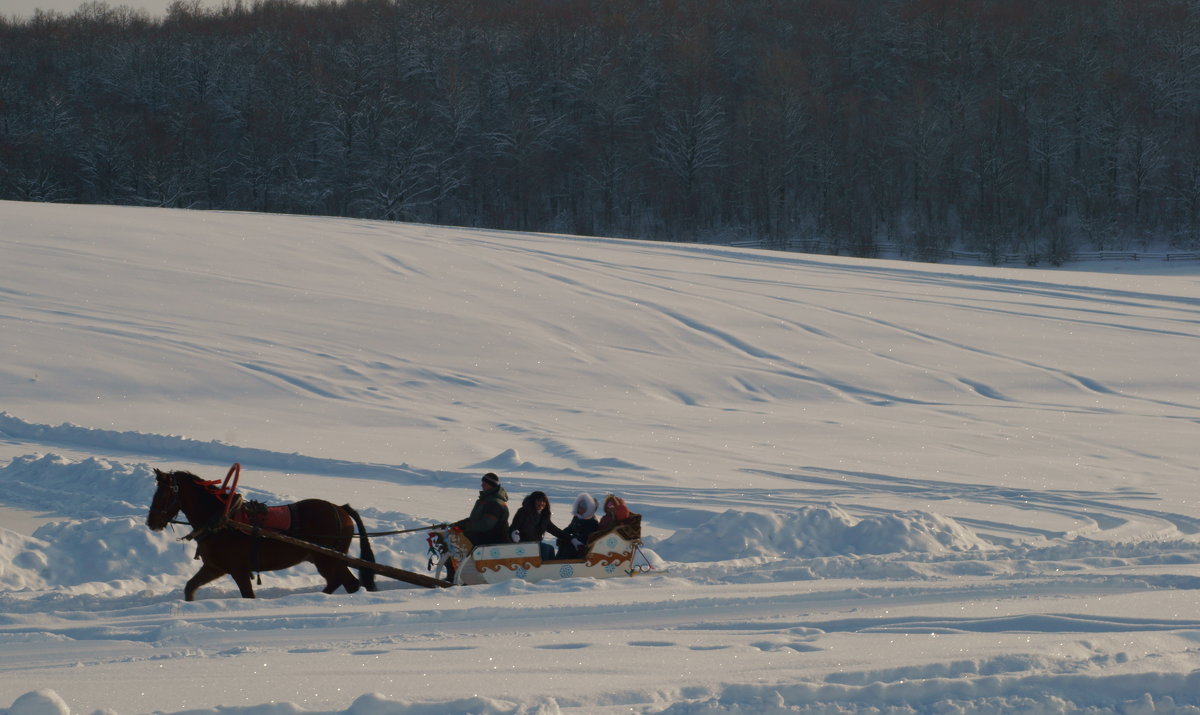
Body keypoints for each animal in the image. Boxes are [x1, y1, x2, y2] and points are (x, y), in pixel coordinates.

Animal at [147, 465, 376, 599]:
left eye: (164, 494)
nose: (151, 522)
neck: (221, 519)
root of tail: (340, 508)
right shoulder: (215, 567)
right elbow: (190, 587)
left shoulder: (238, 570)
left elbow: (247, 595)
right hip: (327, 559)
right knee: (340, 582)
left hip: (328, 559)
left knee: (349, 583)